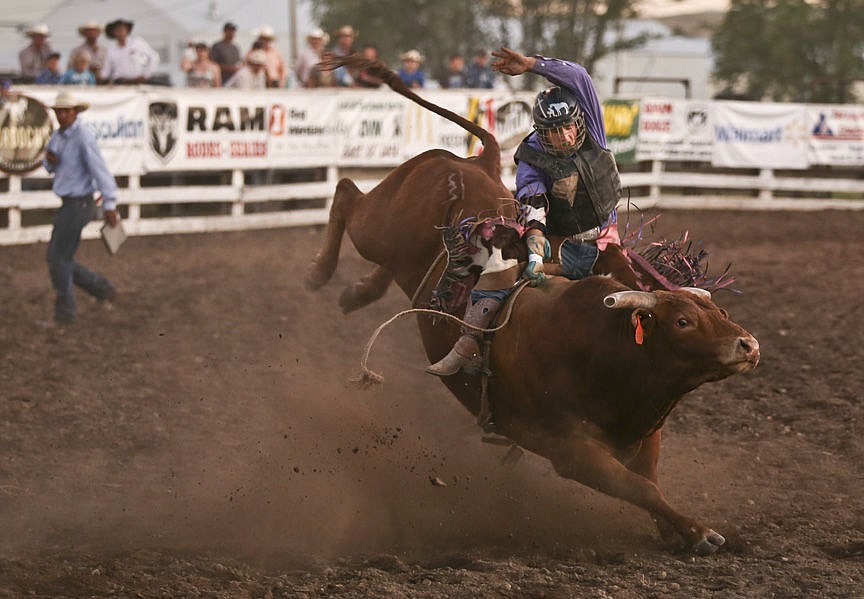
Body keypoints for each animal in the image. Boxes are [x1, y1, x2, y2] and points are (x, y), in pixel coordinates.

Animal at [308, 56, 760, 556]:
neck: (603, 348)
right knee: (346, 192)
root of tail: (472, 161)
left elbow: (651, 482)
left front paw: (675, 530)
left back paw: (356, 292)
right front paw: (700, 532)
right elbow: (640, 488)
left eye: (720, 314)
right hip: (381, 224)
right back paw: (320, 273)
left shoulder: (645, 435)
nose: (748, 345)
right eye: (682, 321)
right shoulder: (570, 451)